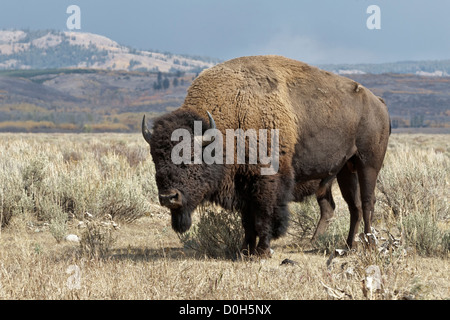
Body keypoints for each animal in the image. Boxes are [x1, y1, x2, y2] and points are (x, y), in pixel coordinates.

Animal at [142, 54, 390, 255]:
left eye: (191, 158)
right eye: (155, 159)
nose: (168, 197)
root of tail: (378, 102)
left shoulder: (266, 181)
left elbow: (263, 216)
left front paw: (262, 251)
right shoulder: (243, 184)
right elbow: (248, 221)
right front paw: (245, 250)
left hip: (368, 164)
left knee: (367, 202)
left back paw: (369, 245)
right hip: (345, 169)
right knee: (351, 206)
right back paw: (345, 246)